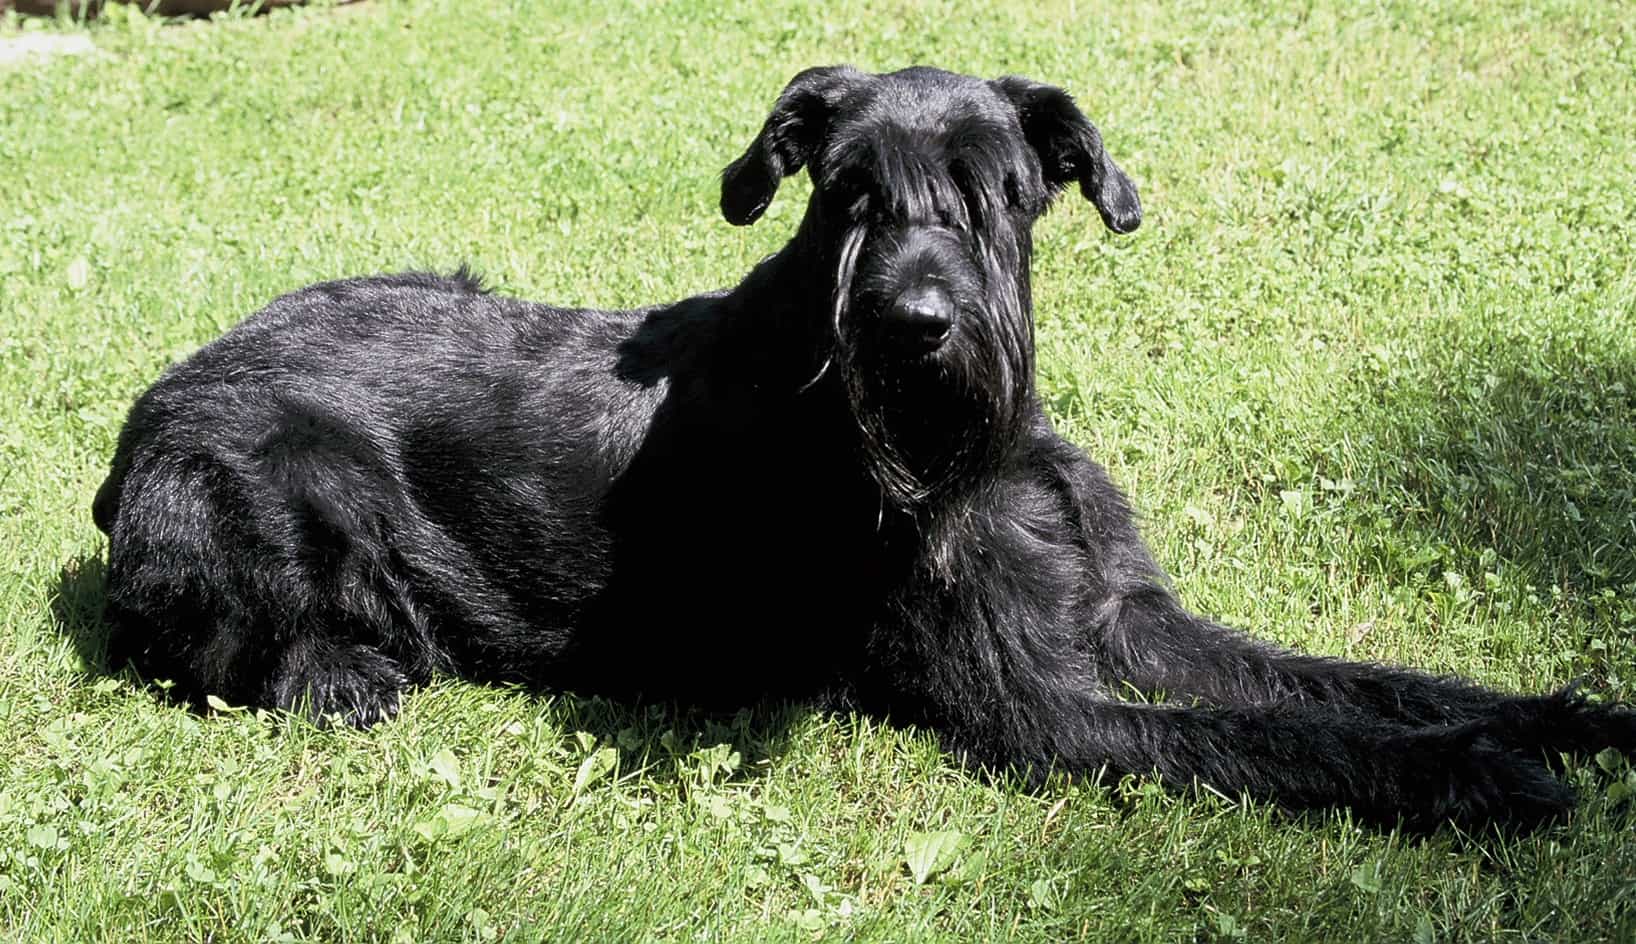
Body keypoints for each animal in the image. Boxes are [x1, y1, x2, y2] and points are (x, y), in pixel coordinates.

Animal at [95, 67, 1629, 831]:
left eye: (996, 189)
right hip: (280, 480)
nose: (916, 326)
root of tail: (131, 440)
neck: (981, 456)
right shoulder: (1040, 709)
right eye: (844, 192)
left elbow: (1347, 681)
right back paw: (360, 667)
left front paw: (1559, 716)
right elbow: (1270, 740)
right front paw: (1468, 776)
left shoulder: (1128, 617)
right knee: (271, 657)